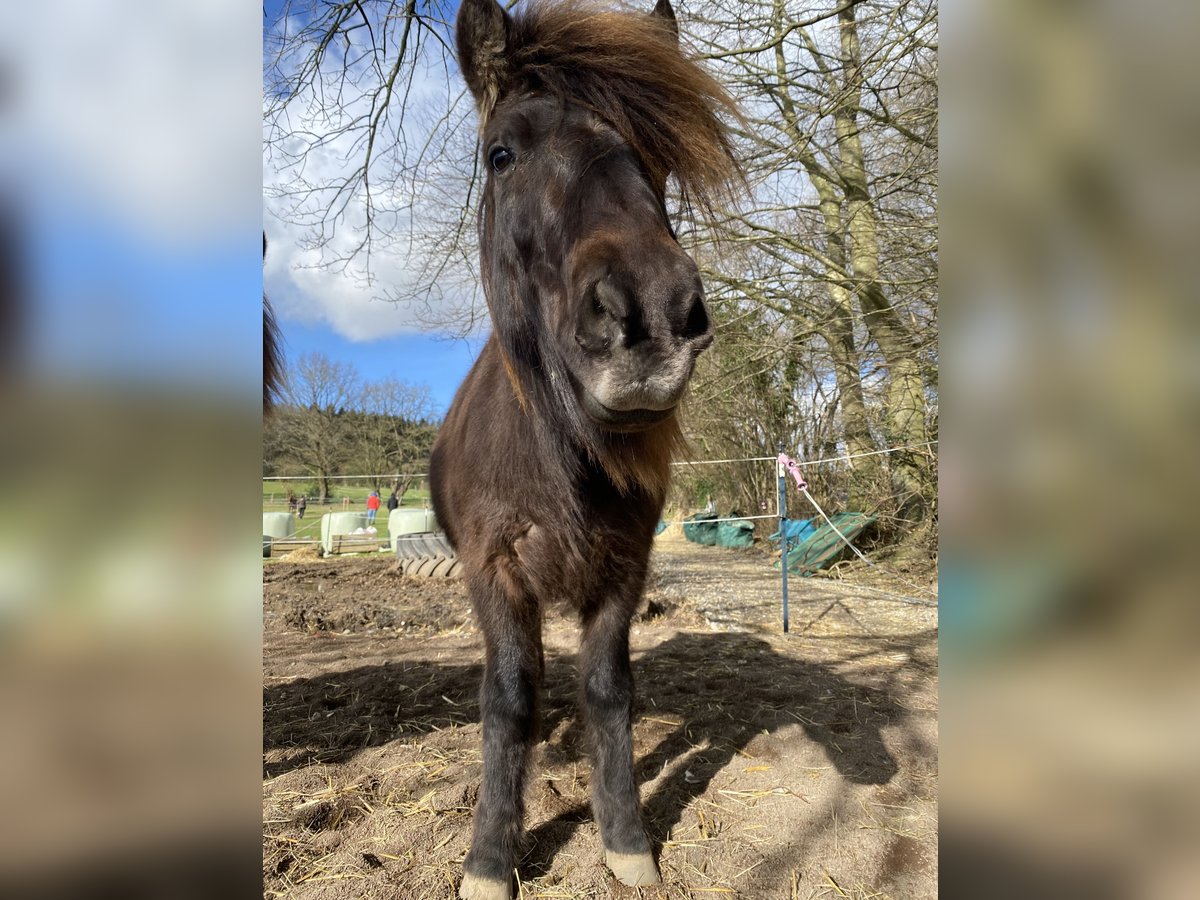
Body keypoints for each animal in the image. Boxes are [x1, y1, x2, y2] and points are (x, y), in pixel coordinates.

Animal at [427, 3, 734, 897]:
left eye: (660, 159)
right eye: (500, 154)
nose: (652, 313)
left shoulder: (623, 572)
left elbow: (606, 691)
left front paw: (625, 838)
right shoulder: (493, 572)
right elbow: (509, 698)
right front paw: (489, 857)